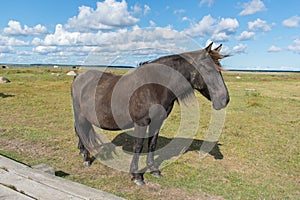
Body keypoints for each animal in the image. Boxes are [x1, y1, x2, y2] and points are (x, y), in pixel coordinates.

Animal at [72, 42, 230, 186]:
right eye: (208, 70)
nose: (224, 100)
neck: (154, 87)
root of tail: (78, 78)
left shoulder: (157, 121)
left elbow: (152, 144)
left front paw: (154, 169)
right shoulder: (141, 123)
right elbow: (138, 146)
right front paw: (137, 176)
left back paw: (82, 151)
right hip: (80, 115)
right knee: (81, 131)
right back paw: (86, 158)